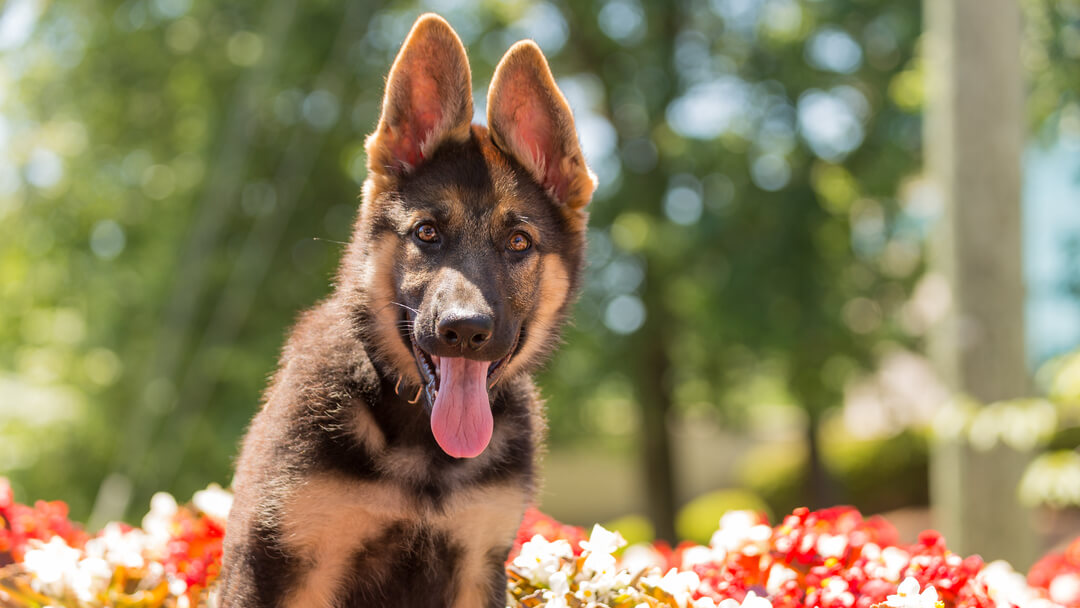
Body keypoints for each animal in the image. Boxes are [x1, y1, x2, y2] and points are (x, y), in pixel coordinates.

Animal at [214, 14, 596, 608]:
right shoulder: (278, 562)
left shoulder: (477, 564)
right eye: (427, 233)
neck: (422, 451)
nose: (464, 331)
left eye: (518, 242)